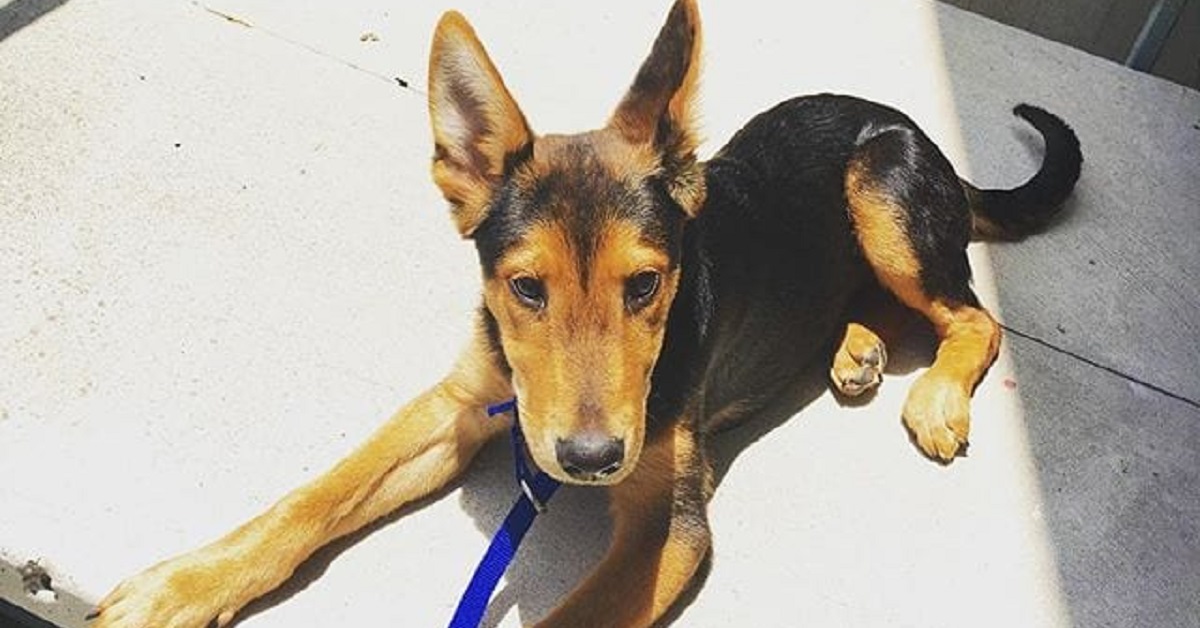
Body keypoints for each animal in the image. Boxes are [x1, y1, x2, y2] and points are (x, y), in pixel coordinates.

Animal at [93, 1, 1084, 628]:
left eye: (646, 286)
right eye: (526, 289)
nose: (590, 459)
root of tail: (917, 129)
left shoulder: (668, 530)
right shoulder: (462, 404)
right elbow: (316, 495)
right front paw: (183, 586)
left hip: (880, 183)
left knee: (973, 315)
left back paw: (935, 395)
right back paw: (856, 347)